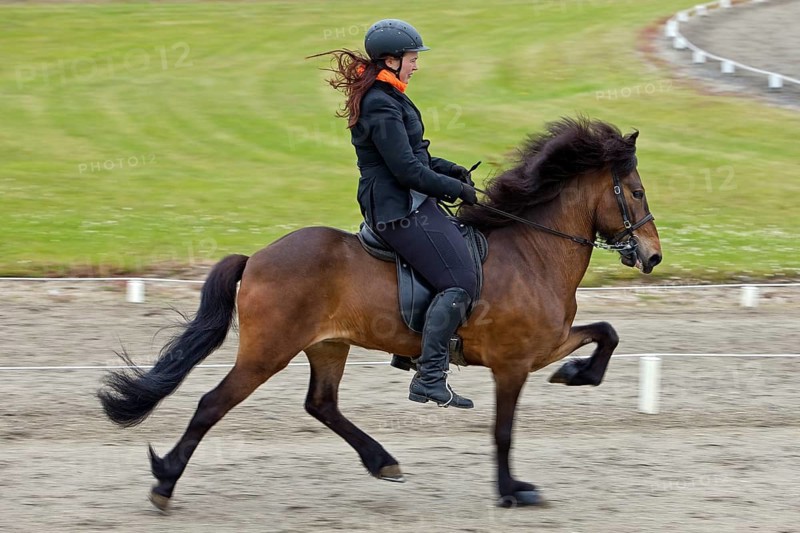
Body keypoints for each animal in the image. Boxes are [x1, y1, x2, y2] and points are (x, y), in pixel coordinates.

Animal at [98, 117, 662, 510]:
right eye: (636, 192)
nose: (653, 257)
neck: (533, 251)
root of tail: (256, 257)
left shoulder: (545, 345)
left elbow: (606, 331)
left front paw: (577, 374)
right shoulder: (513, 364)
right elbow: (503, 432)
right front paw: (511, 490)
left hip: (328, 344)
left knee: (321, 404)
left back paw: (382, 461)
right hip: (268, 352)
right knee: (212, 404)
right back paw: (165, 481)